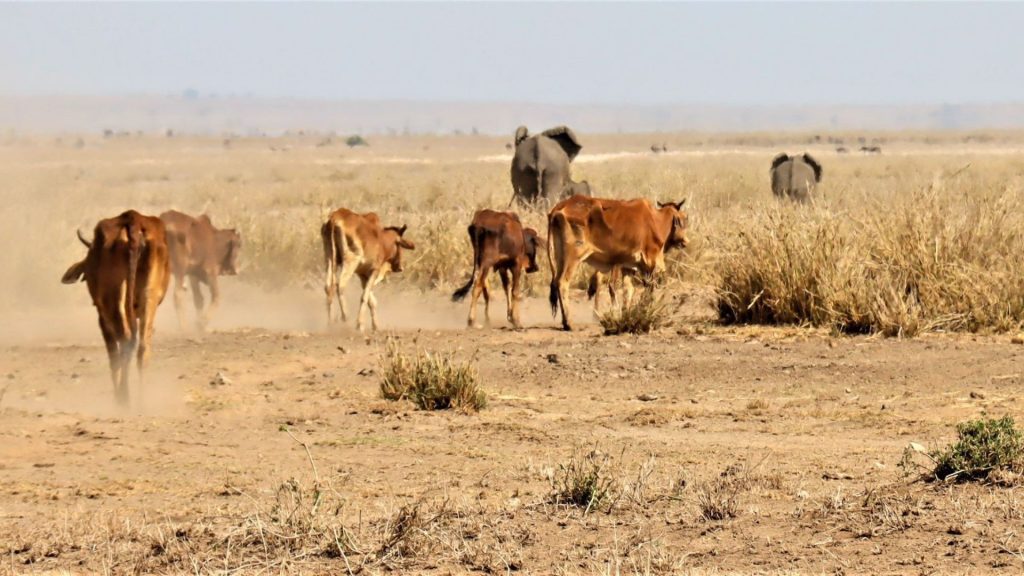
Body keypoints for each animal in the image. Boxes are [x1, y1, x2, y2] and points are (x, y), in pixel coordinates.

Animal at [60, 211, 169, 403]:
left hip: (114, 298)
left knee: (125, 341)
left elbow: (113, 355)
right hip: (149, 297)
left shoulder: (102, 317)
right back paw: (140, 401)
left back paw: (124, 399)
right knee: (142, 347)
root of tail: (133, 220)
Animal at [544, 193, 688, 330]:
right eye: (684, 218)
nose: (685, 241)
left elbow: (628, 290)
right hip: (573, 256)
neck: (657, 220)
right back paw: (569, 323)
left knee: (556, 282)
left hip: (560, 256)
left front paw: (627, 316)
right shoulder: (649, 262)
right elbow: (648, 290)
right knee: (562, 283)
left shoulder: (628, 266)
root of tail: (560, 207)